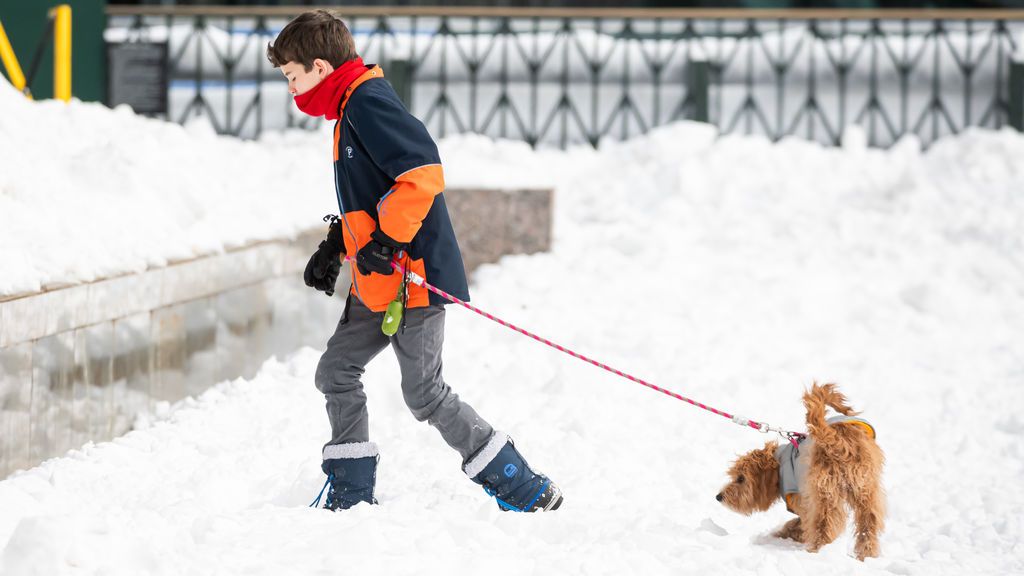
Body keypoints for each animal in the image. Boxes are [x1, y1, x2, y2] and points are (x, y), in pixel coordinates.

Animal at [716, 383, 884, 557]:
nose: (718, 496)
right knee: (869, 523)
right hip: (865, 490)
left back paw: (815, 551)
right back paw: (866, 555)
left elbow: (798, 525)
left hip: (825, 495)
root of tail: (837, 440)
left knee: (825, 527)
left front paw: (779, 535)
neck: (778, 465)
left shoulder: (804, 504)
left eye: (741, 478)